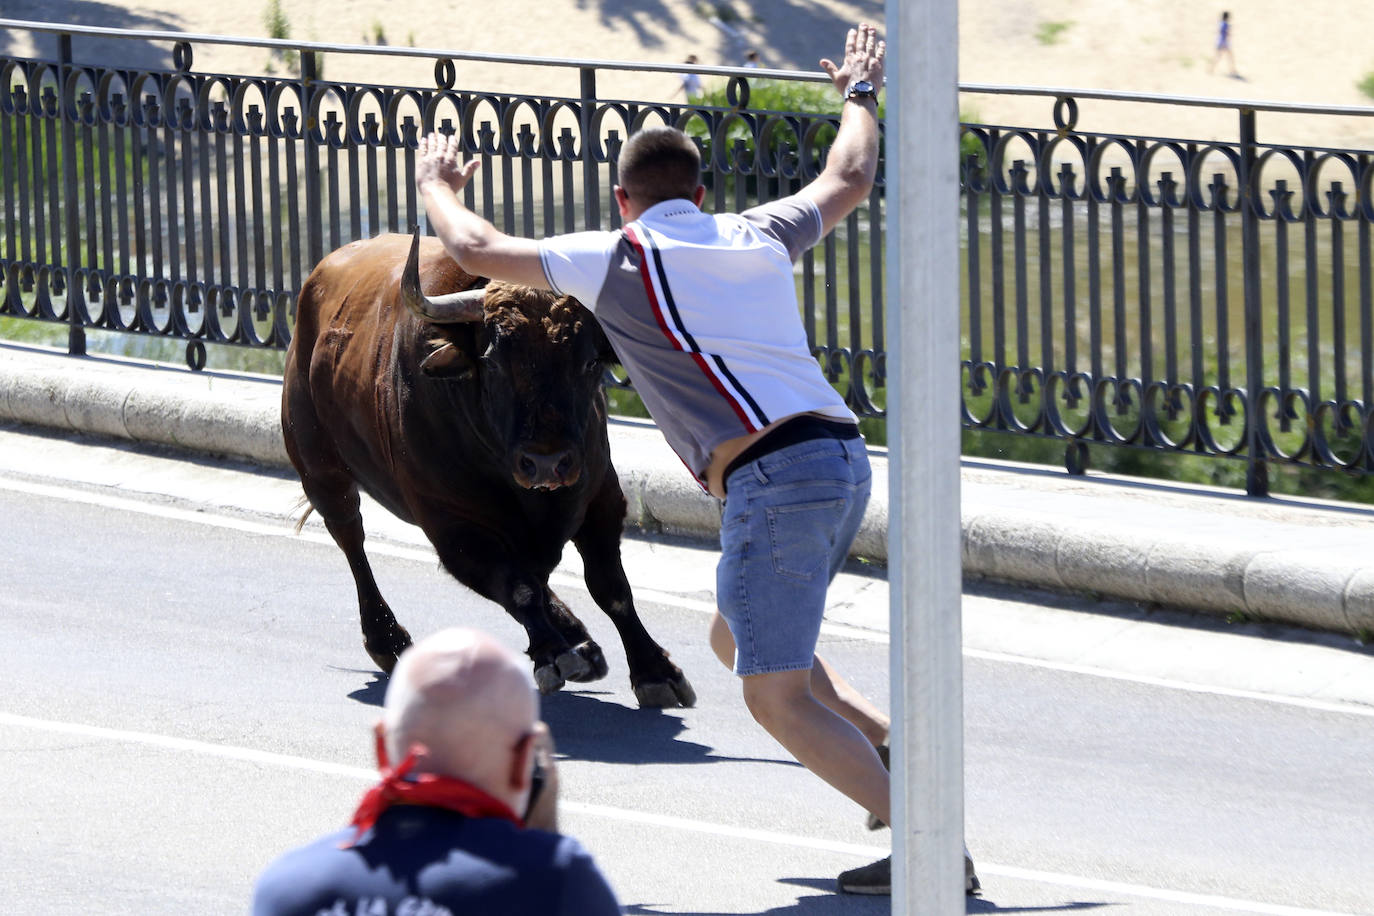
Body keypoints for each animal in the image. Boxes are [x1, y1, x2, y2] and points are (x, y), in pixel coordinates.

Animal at [278, 230, 692, 708]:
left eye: (590, 361)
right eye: (493, 360)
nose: (546, 462)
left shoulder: (601, 497)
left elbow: (611, 587)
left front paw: (655, 671)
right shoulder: (453, 528)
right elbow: (518, 587)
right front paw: (553, 655)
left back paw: (580, 642)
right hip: (322, 474)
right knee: (351, 540)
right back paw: (390, 642)